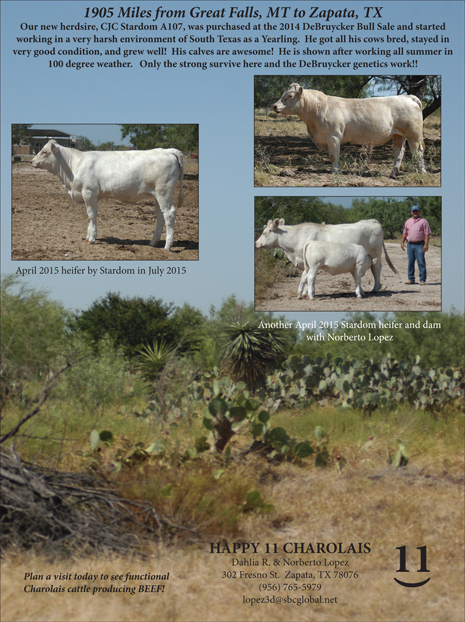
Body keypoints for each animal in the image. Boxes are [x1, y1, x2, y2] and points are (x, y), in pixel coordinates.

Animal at [29, 140, 183, 250]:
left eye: (44, 152)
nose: (31, 161)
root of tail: (168, 150)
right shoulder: (89, 195)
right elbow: (89, 216)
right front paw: (87, 237)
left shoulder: (89, 192)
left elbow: (91, 215)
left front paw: (91, 239)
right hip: (157, 195)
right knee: (160, 215)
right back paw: (153, 242)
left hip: (164, 193)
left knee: (169, 213)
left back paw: (167, 246)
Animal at [254, 219, 396, 294]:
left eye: (265, 232)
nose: (256, 243)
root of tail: (372, 221)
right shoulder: (307, 263)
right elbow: (307, 277)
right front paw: (307, 292)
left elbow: (307, 277)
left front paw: (307, 292)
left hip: (376, 252)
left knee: (376, 268)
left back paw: (375, 288)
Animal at [270, 83, 426, 178]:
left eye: (289, 96)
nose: (274, 106)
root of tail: (407, 96)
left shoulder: (334, 137)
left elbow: (334, 156)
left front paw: (334, 172)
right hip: (398, 135)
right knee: (399, 153)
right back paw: (393, 173)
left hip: (413, 134)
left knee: (417, 152)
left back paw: (422, 171)